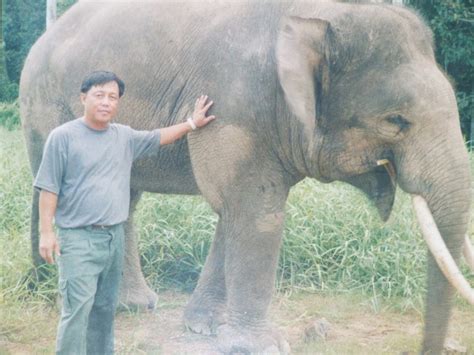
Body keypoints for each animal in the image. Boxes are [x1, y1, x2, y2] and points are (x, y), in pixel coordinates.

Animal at [19, 1, 474, 354]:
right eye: (396, 121)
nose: (427, 346)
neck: (317, 18)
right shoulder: (236, 104)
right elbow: (257, 212)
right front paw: (262, 345)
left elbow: (237, 211)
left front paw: (204, 326)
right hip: (44, 105)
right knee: (52, 183)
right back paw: (49, 289)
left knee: (125, 196)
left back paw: (131, 306)